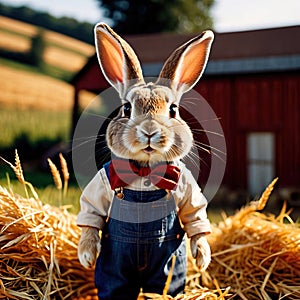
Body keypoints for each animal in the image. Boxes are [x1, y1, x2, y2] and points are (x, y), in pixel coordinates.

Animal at [77, 22, 213, 298]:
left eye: (173, 110)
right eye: (127, 109)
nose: (149, 131)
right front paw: (86, 255)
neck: (145, 172)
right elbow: (90, 213)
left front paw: (203, 257)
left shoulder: (187, 185)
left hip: (169, 269)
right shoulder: (101, 182)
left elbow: (195, 216)